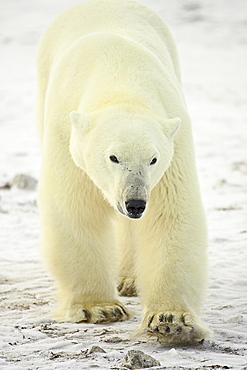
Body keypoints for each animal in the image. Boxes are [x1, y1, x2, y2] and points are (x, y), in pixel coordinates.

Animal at [36, 0, 210, 344]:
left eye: (153, 159)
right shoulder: (66, 136)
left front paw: (171, 320)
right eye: (113, 157)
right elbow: (76, 210)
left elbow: (170, 215)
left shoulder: (173, 141)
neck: (119, 75)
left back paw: (130, 279)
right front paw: (99, 308)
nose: (135, 203)